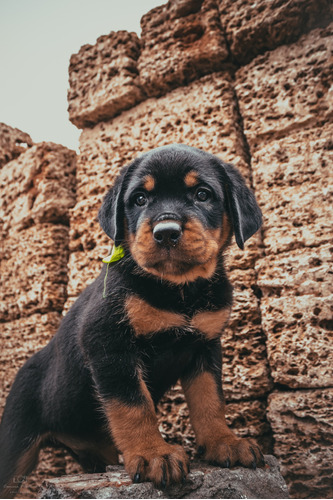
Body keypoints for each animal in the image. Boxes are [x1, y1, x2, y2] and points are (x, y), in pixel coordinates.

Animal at [0, 144, 264, 496]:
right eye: (139, 199)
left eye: (202, 194)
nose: (166, 232)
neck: (179, 289)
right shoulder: (109, 345)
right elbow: (134, 405)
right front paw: (154, 454)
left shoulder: (205, 346)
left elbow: (210, 400)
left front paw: (224, 442)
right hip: (15, 444)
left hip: (97, 448)